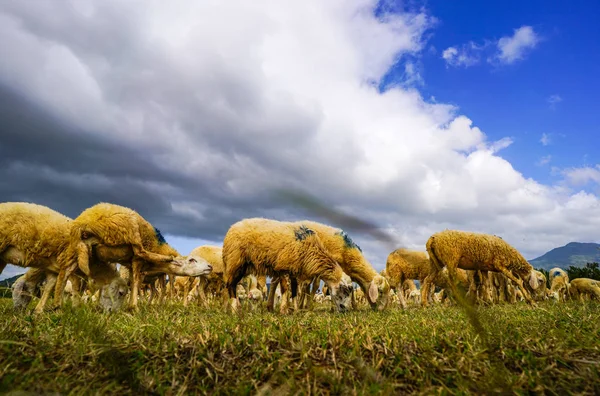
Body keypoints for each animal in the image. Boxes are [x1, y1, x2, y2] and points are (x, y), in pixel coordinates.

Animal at [68, 204, 213, 310]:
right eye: (192, 260)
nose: (210, 266)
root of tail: (83, 222)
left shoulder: (131, 265)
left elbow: (133, 283)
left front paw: (129, 305)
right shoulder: (137, 261)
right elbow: (136, 281)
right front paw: (134, 307)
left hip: (86, 251)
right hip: (131, 226)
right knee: (139, 249)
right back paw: (163, 258)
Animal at [221, 218, 354, 314]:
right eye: (346, 291)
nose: (346, 311)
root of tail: (232, 227)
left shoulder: (293, 270)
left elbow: (294, 291)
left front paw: (295, 310)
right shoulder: (284, 267)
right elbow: (285, 289)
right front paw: (284, 310)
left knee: (233, 285)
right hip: (235, 262)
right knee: (231, 285)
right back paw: (235, 309)